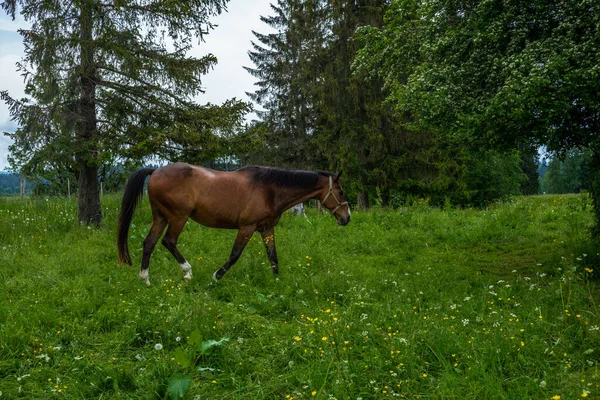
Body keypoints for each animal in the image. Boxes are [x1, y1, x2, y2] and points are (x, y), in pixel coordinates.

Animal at [116, 162, 350, 284]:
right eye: (340, 191)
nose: (346, 218)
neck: (270, 189)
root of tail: (155, 171)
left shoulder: (266, 228)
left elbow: (273, 257)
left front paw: (277, 283)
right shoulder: (247, 227)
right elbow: (235, 255)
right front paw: (216, 276)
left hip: (161, 217)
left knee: (149, 243)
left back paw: (145, 278)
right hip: (178, 217)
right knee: (169, 241)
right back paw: (188, 272)